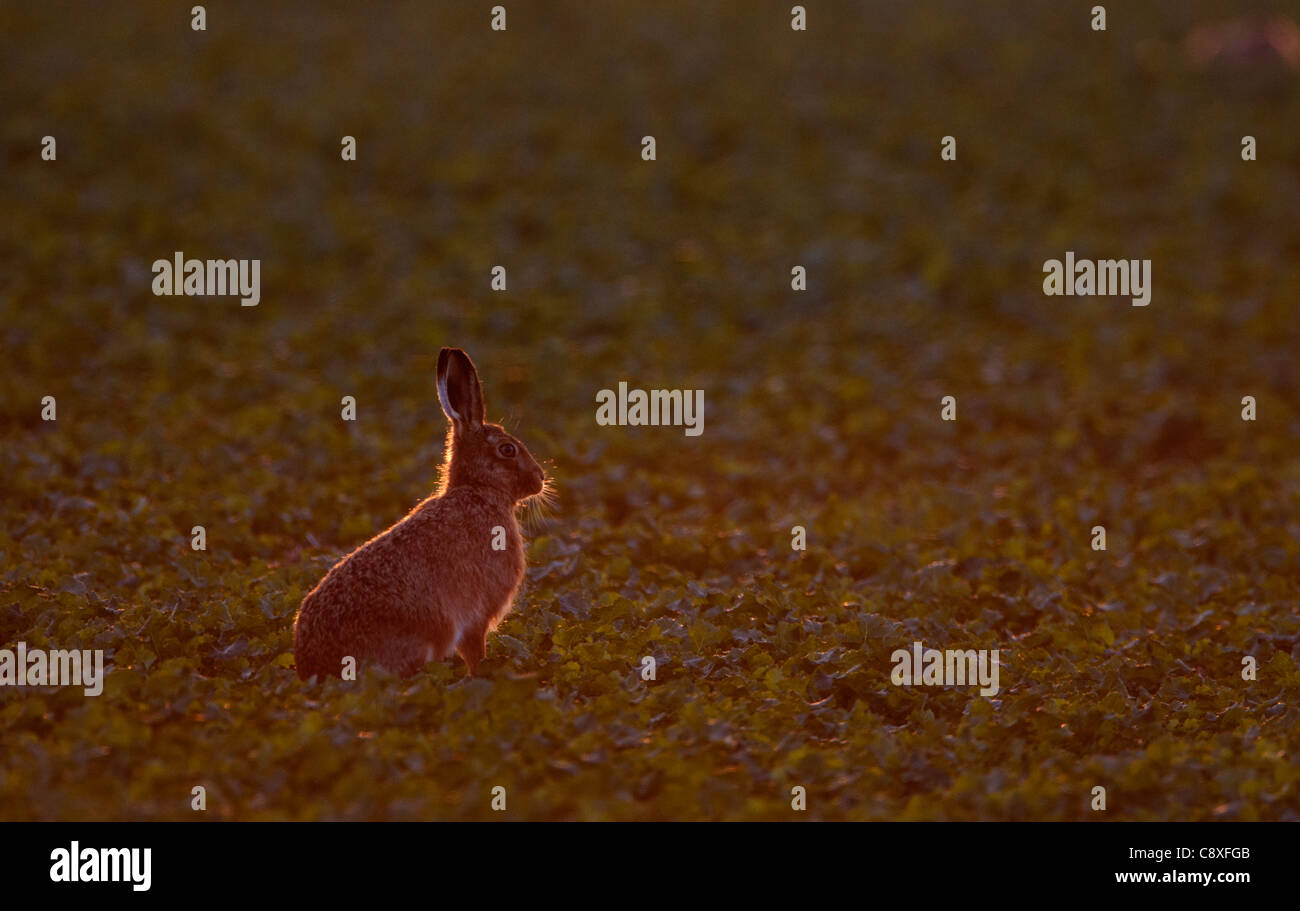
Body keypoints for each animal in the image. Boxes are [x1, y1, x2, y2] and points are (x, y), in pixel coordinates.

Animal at [293, 347, 547, 680]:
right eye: (508, 450)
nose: (541, 477)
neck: (478, 488)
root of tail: (314, 668)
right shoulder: (475, 618)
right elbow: (475, 652)